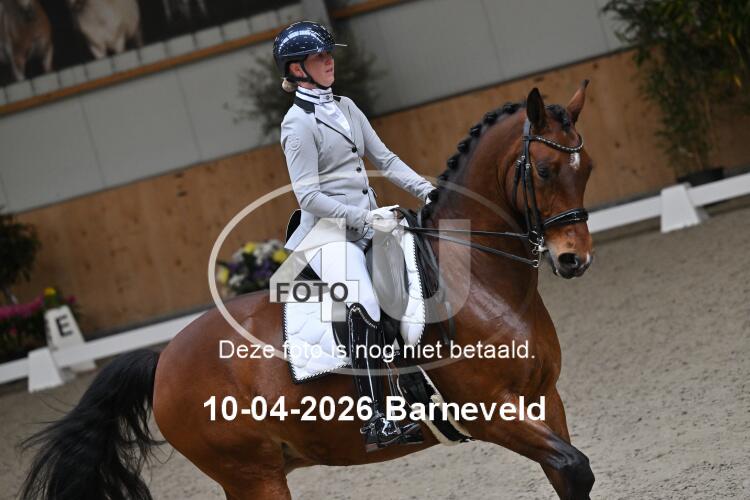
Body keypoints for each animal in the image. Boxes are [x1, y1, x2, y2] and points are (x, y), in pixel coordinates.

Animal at [20, 82, 596, 500]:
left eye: (586, 167)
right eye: (545, 170)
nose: (574, 259)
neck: (478, 282)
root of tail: (163, 360)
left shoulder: (544, 398)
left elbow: (569, 473)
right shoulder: (489, 412)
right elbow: (575, 467)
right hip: (252, 474)